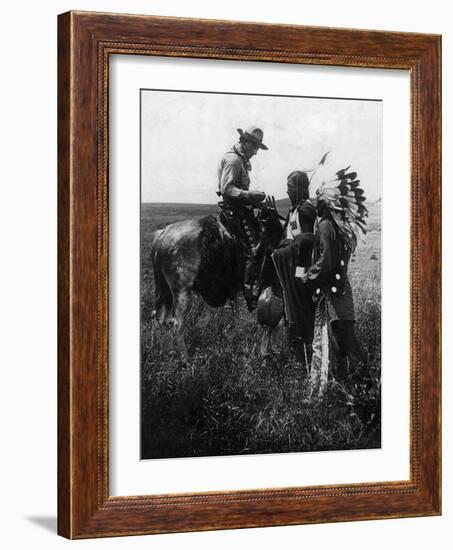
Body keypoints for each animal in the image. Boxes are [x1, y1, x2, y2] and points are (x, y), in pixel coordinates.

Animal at [151, 201, 286, 360]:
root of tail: (163, 233)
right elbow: (275, 322)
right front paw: (268, 352)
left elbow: (274, 322)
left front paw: (271, 350)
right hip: (182, 291)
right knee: (176, 323)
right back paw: (186, 359)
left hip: (165, 290)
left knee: (158, 318)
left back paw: (159, 349)